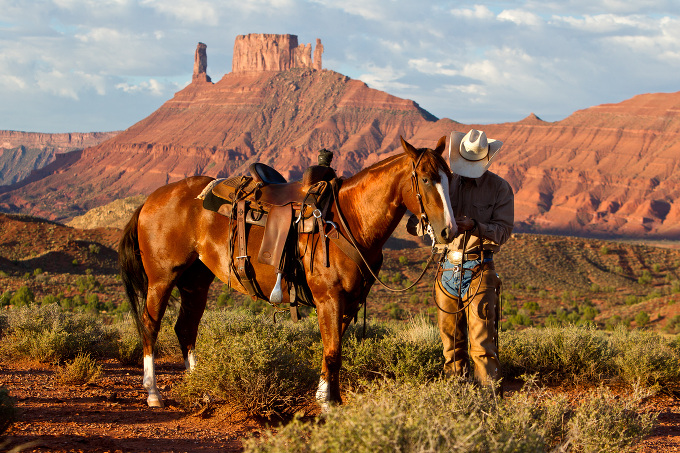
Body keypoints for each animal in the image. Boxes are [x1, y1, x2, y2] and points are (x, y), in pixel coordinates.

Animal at [119, 136, 454, 408]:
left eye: (450, 178)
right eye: (426, 179)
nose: (448, 231)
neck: (350, 220)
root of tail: (151, 199)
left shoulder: (350, 301)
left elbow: (332, 350)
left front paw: (325, 396)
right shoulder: (329, 298)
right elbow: (333, 352)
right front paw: (329, 404)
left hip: (196, 281)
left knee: (185, 328)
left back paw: (200, 390)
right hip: (162, 278)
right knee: (150, 325)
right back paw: (153, 393)